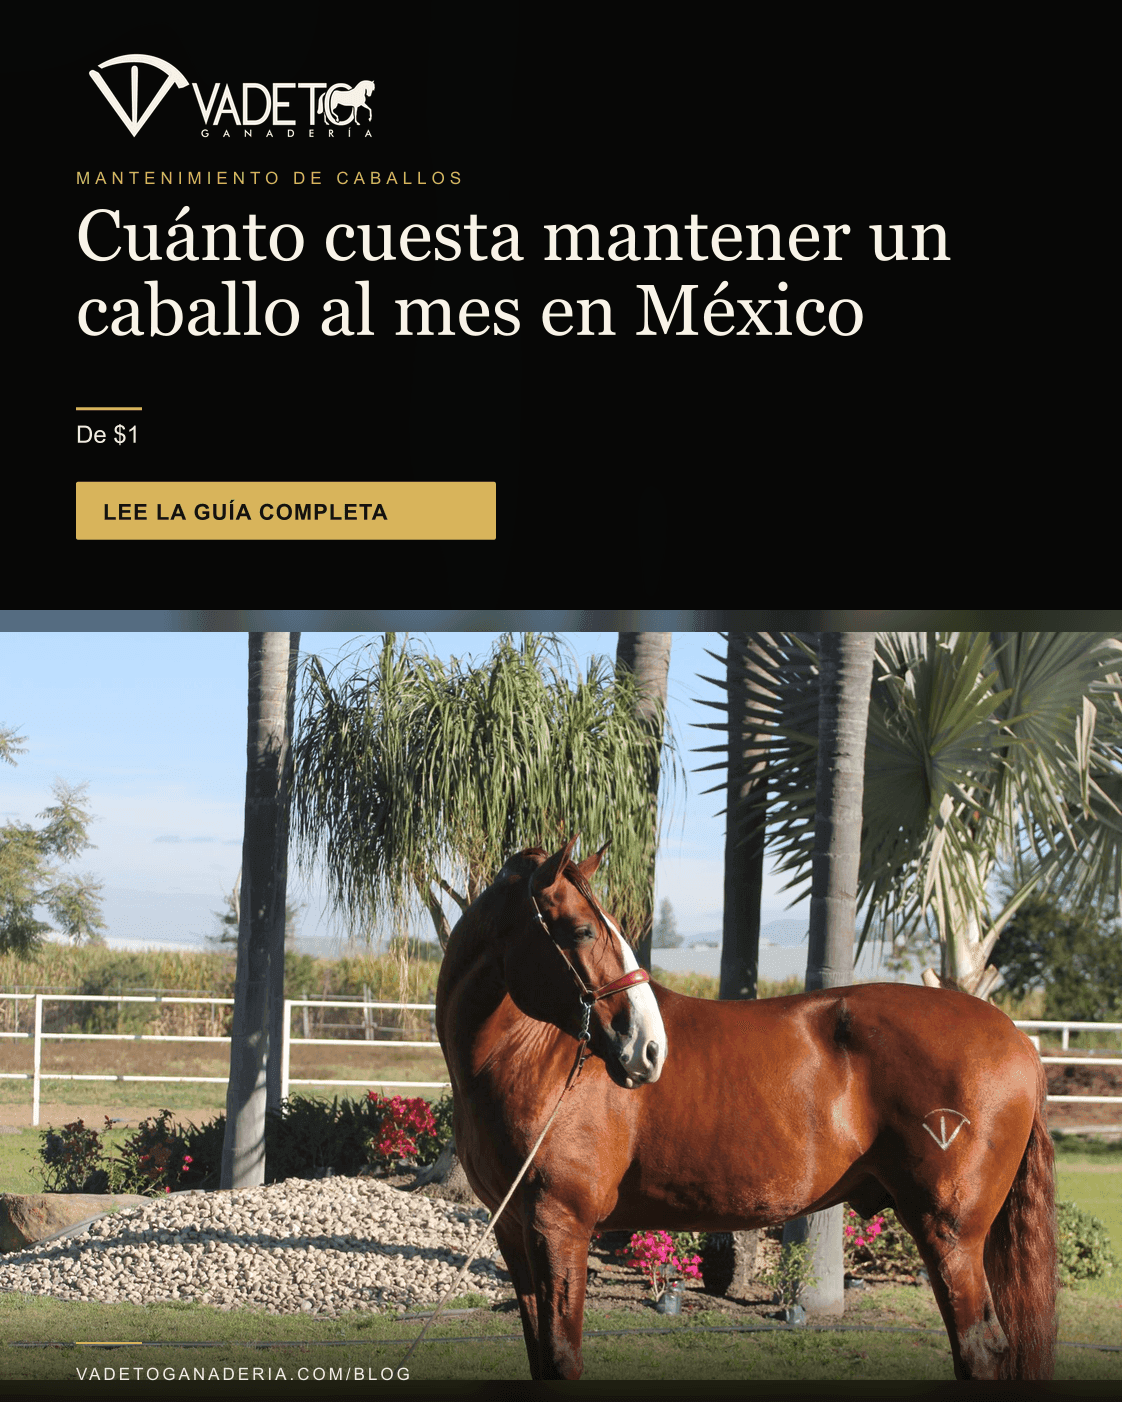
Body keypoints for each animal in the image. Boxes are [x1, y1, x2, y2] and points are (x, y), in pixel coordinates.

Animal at [435, 835, 1058, 1382]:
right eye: (584, 929)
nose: (649, 1048)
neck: (531, 1055)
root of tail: (1018, 1039)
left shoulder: (560, 1225)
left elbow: (562, 1359)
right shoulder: (515, 1231)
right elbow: (541, 1357)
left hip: (951, 1235)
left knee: (980, 1350)